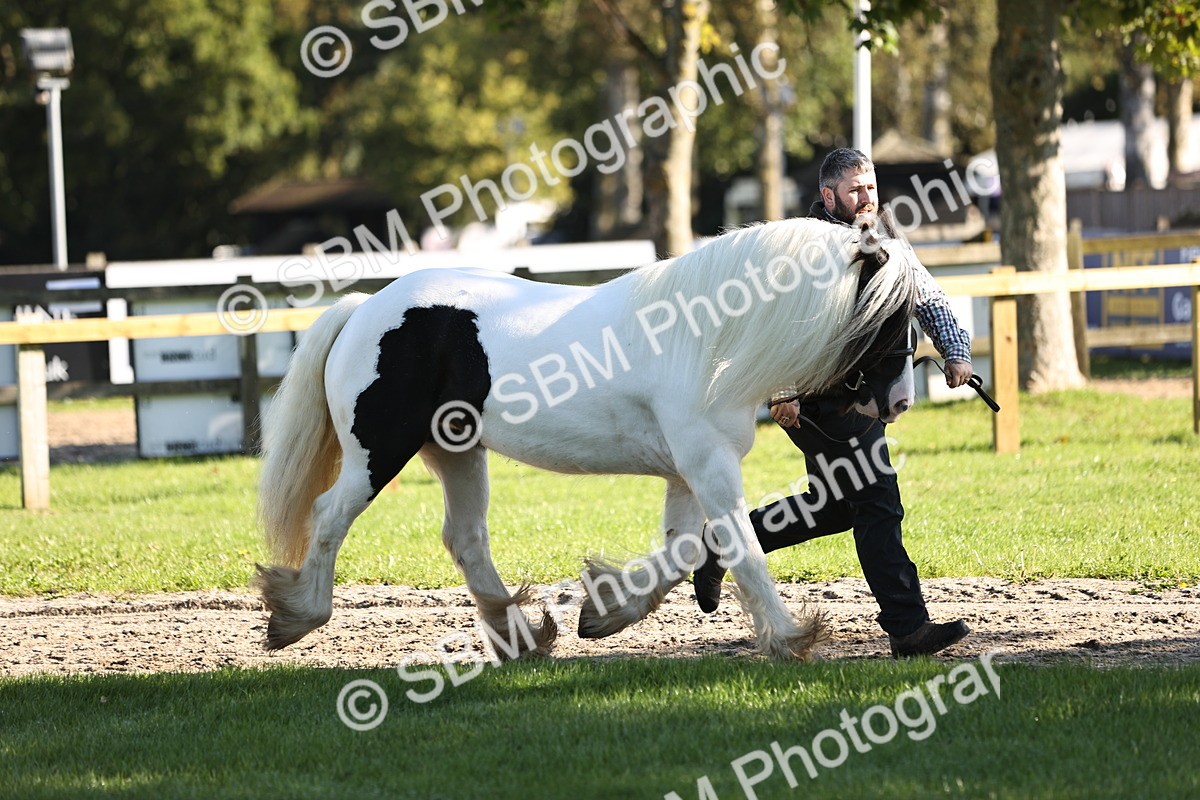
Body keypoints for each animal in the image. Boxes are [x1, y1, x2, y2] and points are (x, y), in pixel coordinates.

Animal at [254, 215, 919, 662]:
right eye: (891, 317)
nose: (898, 403)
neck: (707, 339)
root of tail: (366, 308)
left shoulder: (687, 472)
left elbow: (683, 552)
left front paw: (606, 612)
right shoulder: (709, 466)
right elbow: (743, 549)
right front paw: (790, 637)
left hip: (458, 453)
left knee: (466, 539)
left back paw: (522, 637)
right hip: (380, 452)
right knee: (329, 514)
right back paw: (298, 617)